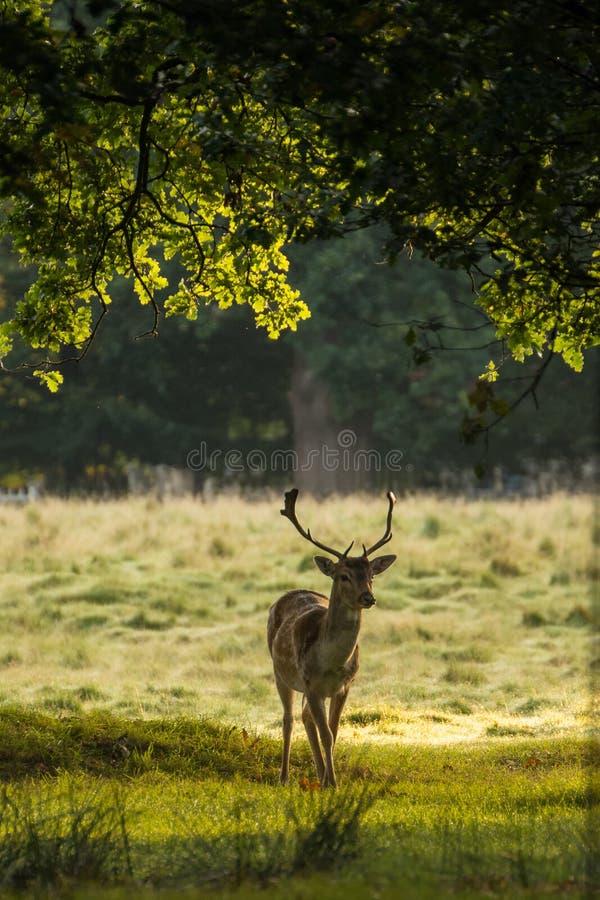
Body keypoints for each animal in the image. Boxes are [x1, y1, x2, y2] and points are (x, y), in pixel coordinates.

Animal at [267, 488, 396, 788]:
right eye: (343, 575)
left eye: (371, 575)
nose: (368, 597)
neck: (331, 663)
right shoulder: (310, 683)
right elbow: (326, 733)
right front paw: (333, 783)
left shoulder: (345, 685)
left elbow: (333, 732)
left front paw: (328, 779)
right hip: (280, 672)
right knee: (288, 719)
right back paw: (284, 776)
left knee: (305, 717)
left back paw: (317, 774)